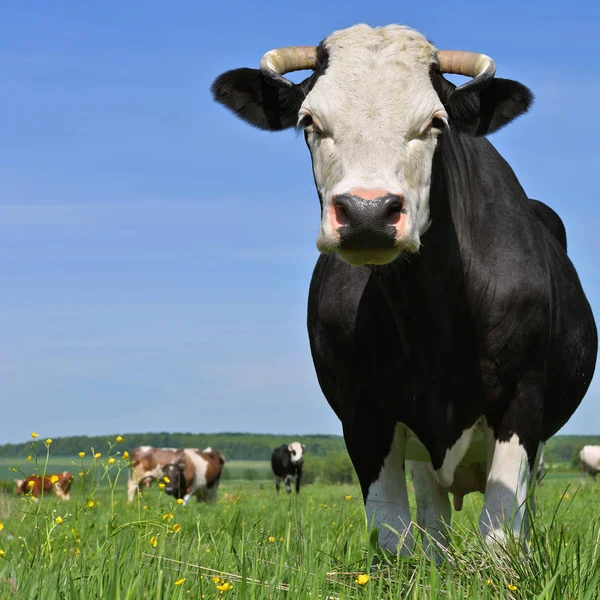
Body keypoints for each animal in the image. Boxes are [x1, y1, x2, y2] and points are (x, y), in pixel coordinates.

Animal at [213, 24, 596, 556]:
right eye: (309, 121)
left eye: (436, 123)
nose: (368, 213)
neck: (431, 319)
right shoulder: (361, 412)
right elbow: (393, 536)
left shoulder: (524, 401)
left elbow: (500, 534)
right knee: (433, 519)